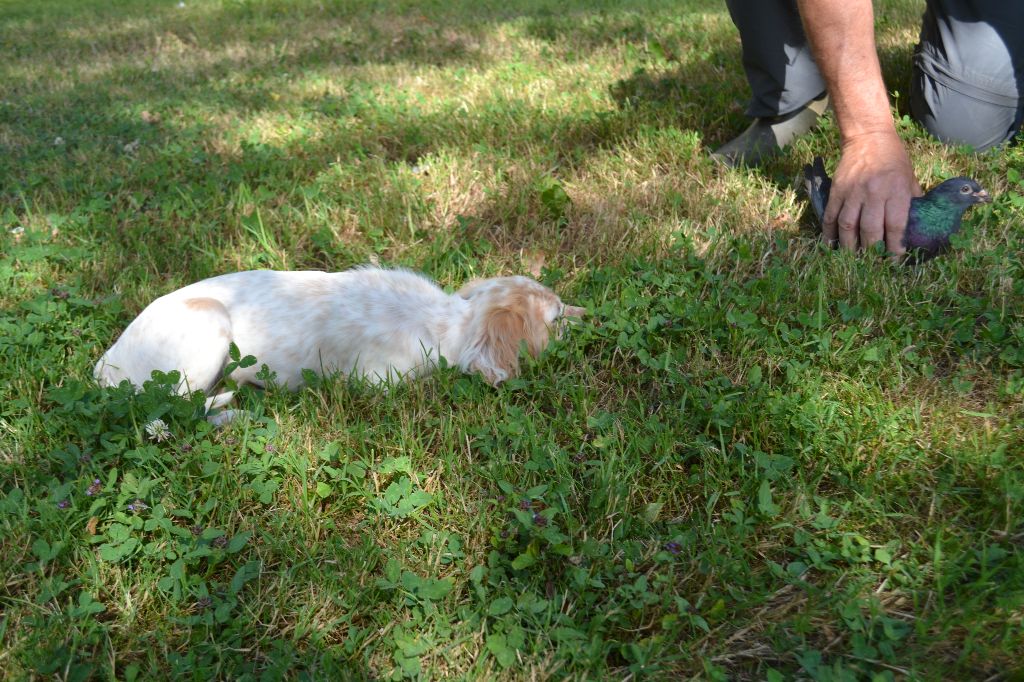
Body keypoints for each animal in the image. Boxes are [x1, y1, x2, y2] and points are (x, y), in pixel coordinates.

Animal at [95, 266, 585, 413]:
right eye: (556, 318)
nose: (589, 314)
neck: (446, 322)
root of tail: (102, 369)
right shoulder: (379, 381)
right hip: (210, 327)